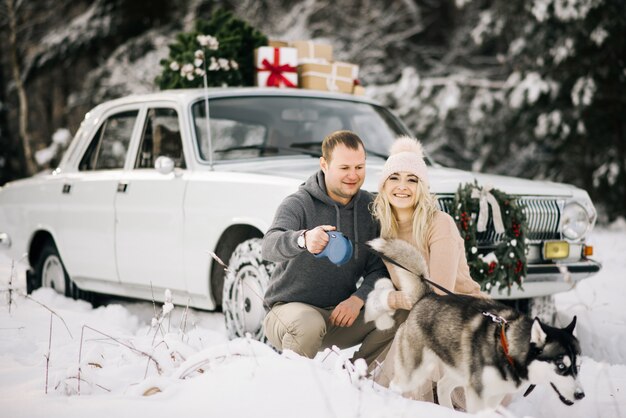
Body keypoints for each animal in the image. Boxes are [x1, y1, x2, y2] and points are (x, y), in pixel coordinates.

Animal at [368, 237, 584, 414]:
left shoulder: (493, 393)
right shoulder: (477, 393)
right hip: (415, 370)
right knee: (398, 386)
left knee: (444, 386)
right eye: (561, 365)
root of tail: (427, 296)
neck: (507, 348)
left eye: (578, 366)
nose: (581, 395)